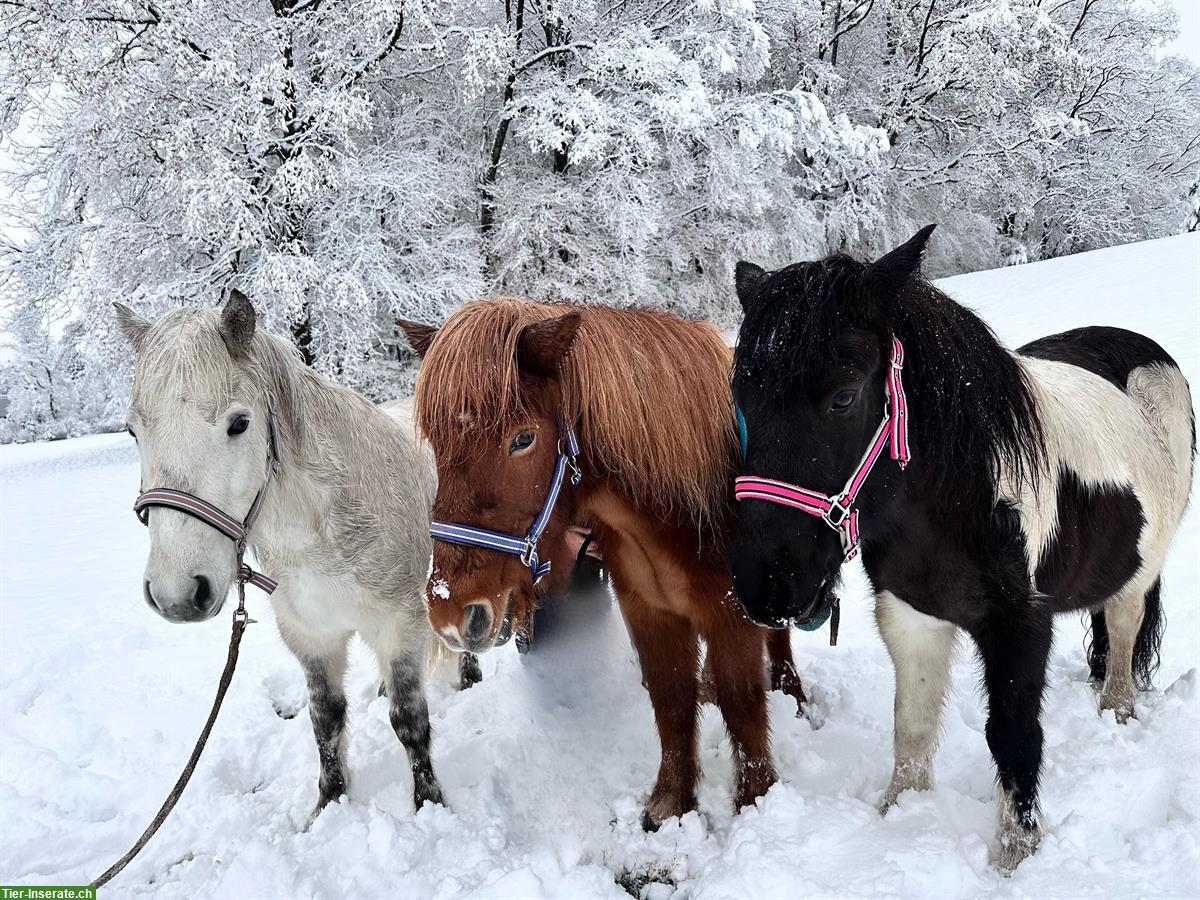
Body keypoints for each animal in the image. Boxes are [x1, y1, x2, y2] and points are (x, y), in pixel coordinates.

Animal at [114, 289, 463, 816]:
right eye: (133, 431)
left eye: (240, 424)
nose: (177, 594)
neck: (326, 534)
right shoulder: (310, 636)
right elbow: (326, 720)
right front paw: (329, 802)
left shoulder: (399, 624)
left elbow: (409, 719)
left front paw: (429, 803)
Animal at [400, 303, 806, 830]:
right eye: (435, 442)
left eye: (522, 439)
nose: (451, 613)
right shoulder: (648, 611)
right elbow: (672, 700)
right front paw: (671, 804)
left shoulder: (729, 615)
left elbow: (744, 705)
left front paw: (756, 802)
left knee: (779, 634)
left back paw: (793, 693)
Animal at [724, 226, 1195, 873]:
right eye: (739, 397)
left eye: (843, 397)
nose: (766, 587)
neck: (959, 500)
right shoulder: (912, 615)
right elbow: (913, 725)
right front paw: (899, 816)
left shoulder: (1021, 625)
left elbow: (1014, 738)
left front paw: (1016, 855)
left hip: (1141, 572)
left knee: (1123, 638)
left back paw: (1116, 712)